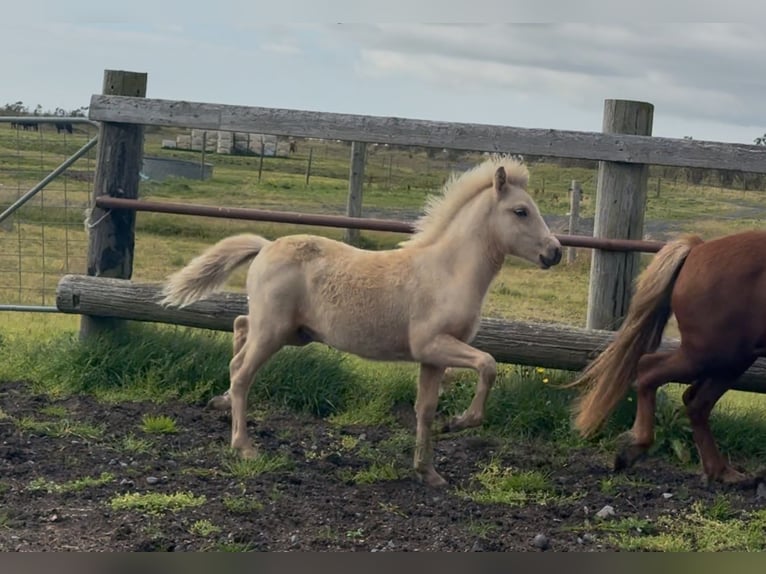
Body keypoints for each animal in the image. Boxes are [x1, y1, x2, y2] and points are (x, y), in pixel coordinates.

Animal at [160, 155, 562, 487]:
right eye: (521, 211)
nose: (555, 252)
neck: (447, 272)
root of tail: (265, 246)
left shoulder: (432, 357)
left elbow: (425, 409)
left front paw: (428, 472)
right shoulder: (433, 344)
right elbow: (488, 365)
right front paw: (459, 423)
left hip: (291, 332)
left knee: (239, 332)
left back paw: (221, 401)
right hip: (274, 332)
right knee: (243, 373)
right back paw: (244, 446)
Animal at [569, 230, 766, 485]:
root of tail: (697, 249)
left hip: (730, 361)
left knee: (695, 402)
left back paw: (721, 471)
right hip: (715, 355)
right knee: (650, 371)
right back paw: (634, 448)